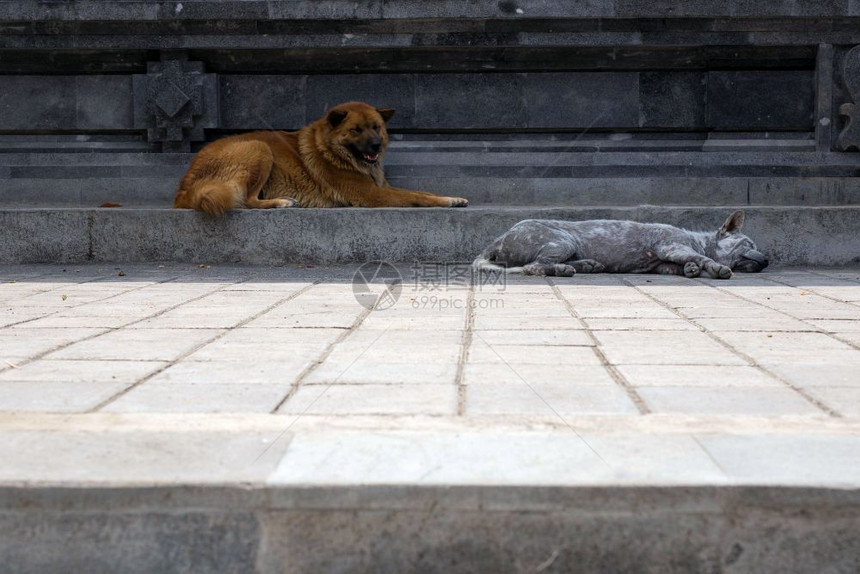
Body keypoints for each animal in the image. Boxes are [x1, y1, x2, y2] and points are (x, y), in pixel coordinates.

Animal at [174, 101, 466, 216]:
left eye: (376, 127)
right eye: (356, 130)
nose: (376, 145)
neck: (333, 151)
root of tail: (184, 189)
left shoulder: (381, 187)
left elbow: (421, 191)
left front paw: (452, 197)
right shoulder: (373, 195)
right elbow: (416, 196)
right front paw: (445, 201)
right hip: (259, 148)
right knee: (246, 201)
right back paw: (281, 202)